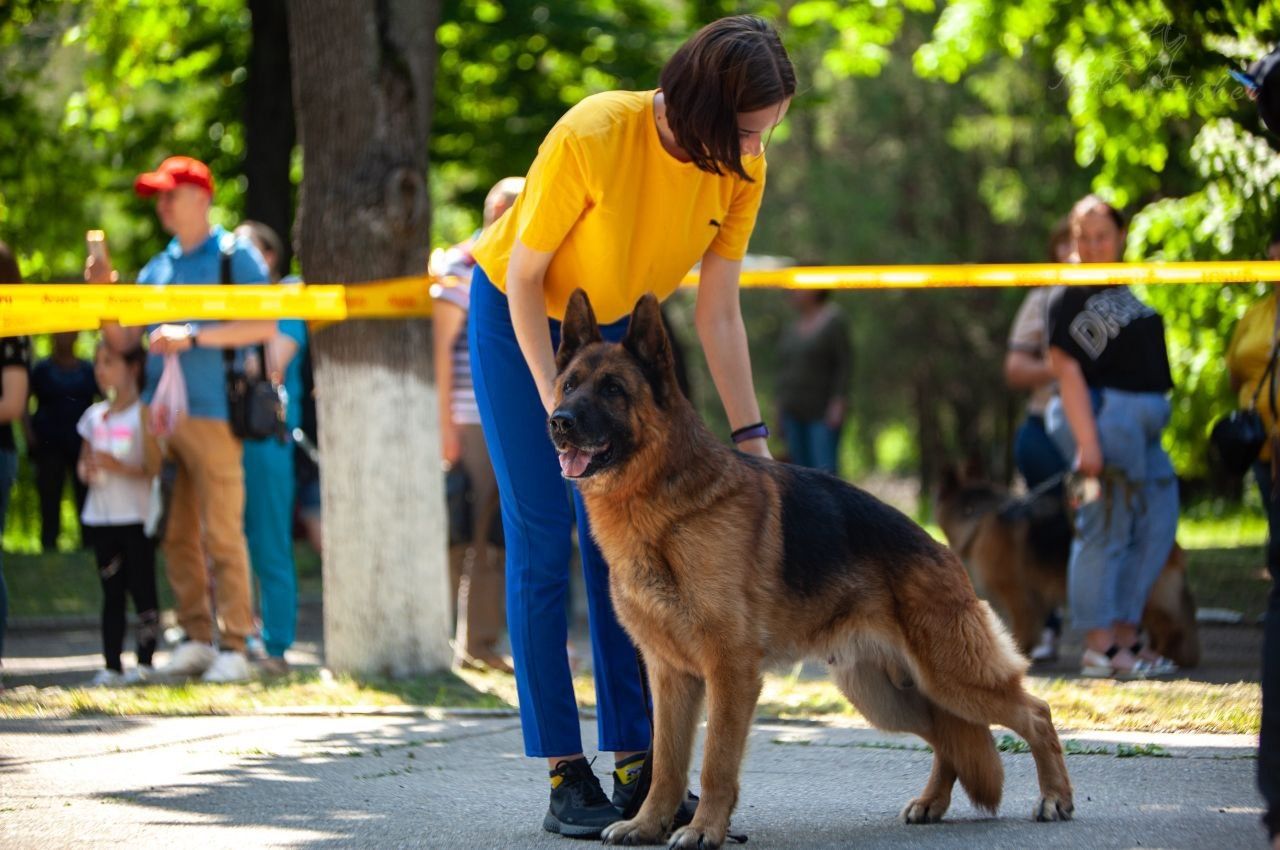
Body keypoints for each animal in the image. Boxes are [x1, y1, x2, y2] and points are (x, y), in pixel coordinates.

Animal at [550, 290, 1070, 844]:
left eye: (613, 389)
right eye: (570, 384)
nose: (559, 420)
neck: (662, 508)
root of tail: (942, 549)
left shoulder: (730, 671)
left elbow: (714, 764)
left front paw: (705, 828)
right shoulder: (670, 677)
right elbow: (666, 763)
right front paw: (647, 824)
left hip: (952, 675)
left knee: (1035, 713)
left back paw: (1055, 796)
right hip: (885, 695)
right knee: (950, 735)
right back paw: (933, 802)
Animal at [931, 471, 1198, 665]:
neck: (980, 519)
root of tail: (1174, 543)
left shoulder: (1017, 594)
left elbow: (1022, 625)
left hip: (1145, 597)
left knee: (1170, 626)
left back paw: (1163, 655)